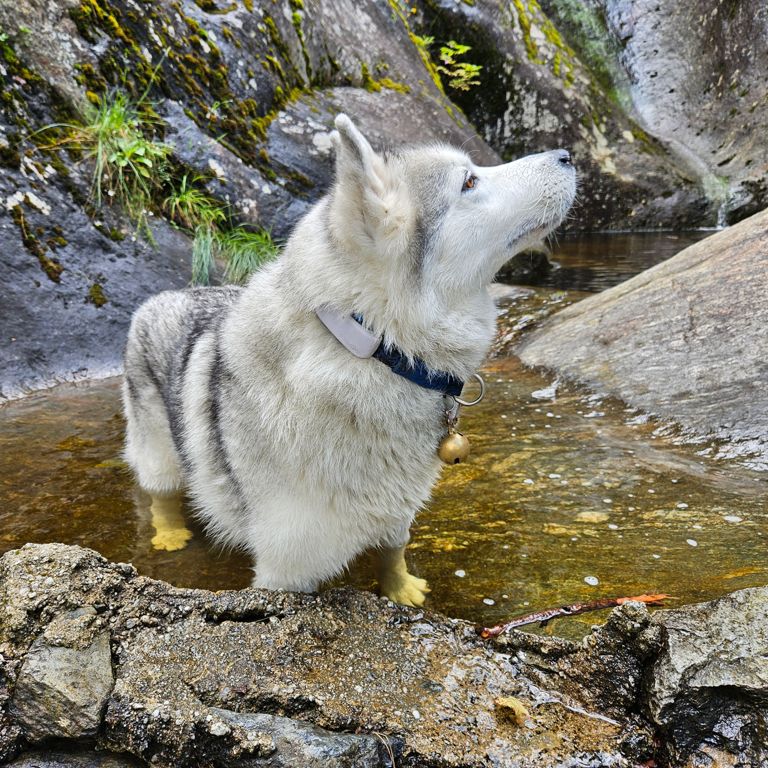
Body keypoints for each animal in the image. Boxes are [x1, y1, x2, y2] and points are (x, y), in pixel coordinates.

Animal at [121, 114, 576, 608]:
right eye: (469, 181)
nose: (567, 155)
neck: (377, 349)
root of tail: (164, 295)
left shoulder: (396, 507)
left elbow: (393, 550)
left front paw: (400, 589)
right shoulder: (287, 570)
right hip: (158, 454)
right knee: (160, 495)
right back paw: (169, 534)